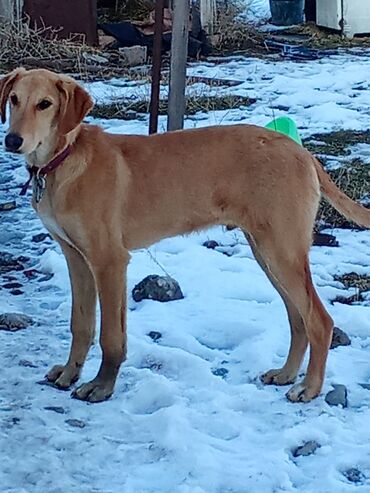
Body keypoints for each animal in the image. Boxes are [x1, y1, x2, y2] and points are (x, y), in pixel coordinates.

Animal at [0, 68, 370, 400]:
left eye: (45, 104)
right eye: (14, 99)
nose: (12, 141)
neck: (61, 163)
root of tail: (302, 152)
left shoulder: (110, 261)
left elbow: (111, 336)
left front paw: (102, 387)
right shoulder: (75, 257)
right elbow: (81, 324)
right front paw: (70, 373)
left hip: (281, 251)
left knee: (319, 321)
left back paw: (309, 388)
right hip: (267, 251)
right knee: (297, 318)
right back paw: (286, 374)